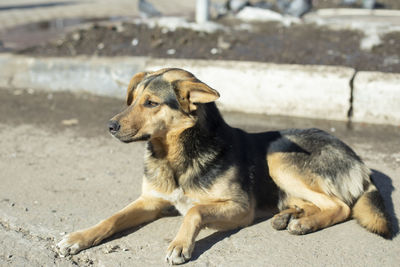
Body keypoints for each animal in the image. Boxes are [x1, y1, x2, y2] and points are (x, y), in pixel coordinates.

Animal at [57, 68, 392, 264]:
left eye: (151, 103)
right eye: (133, 99)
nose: (110, 126)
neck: (176, 156)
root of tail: (359, 160)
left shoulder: (240, 207)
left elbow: (194, 211)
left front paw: (180, 243)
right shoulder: (150, 201)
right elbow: (112, 218)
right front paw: (78, 238)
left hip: (277, 153)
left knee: (341, 206)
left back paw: (305, 223)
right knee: (319, 203)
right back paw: (289, 216)